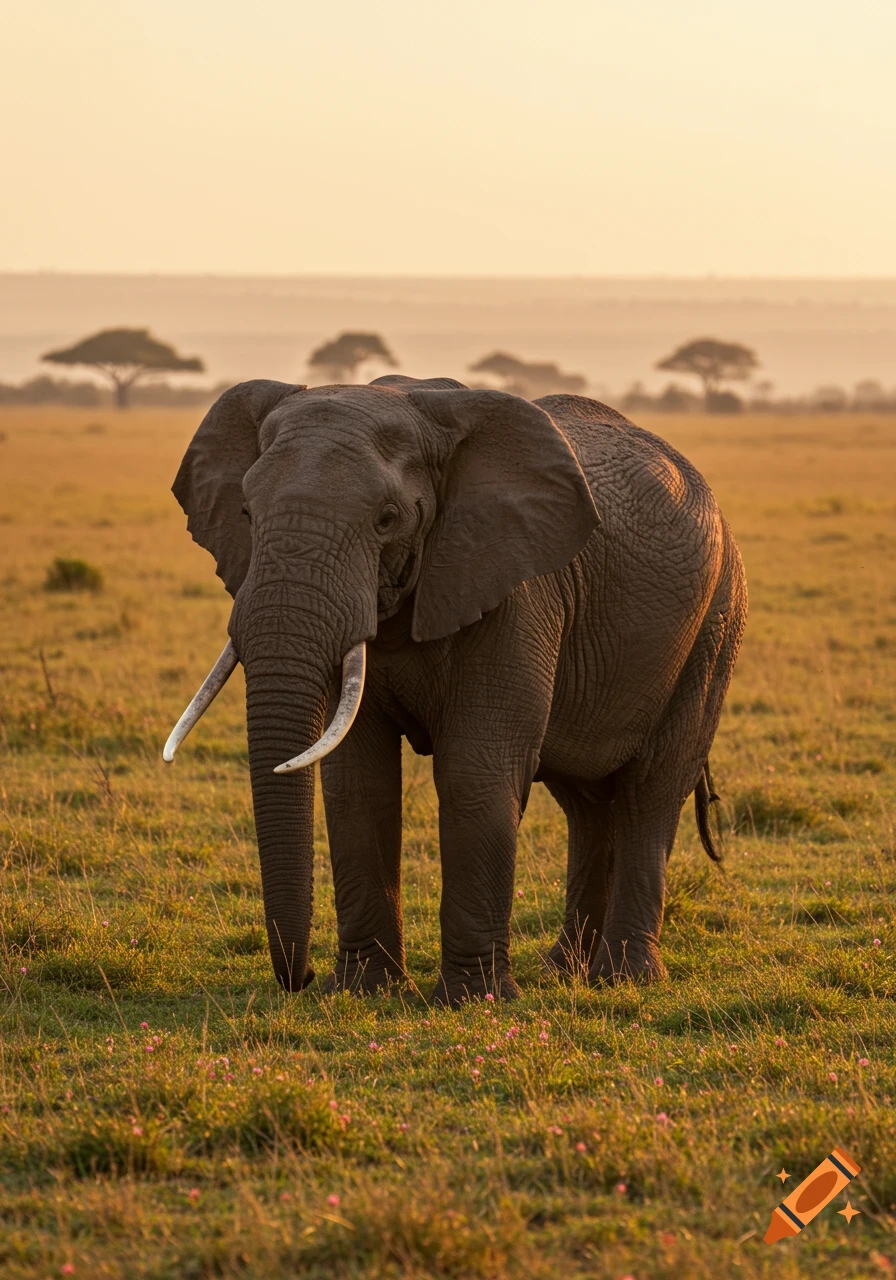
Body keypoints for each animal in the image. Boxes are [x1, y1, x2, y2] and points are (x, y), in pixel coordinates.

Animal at [164, 374, 747, 1005]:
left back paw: (623, 979)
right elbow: (358, 779)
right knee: (585, 803)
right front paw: (364, 992)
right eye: (247, 512)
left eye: (387, 518)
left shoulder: (517, 591)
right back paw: (563, 972)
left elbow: (476, 771)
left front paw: (474, 1000)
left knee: (650, 791)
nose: (303, 979)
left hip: (715, 626)